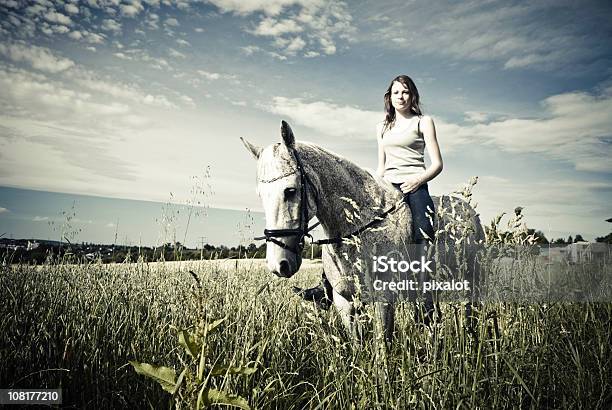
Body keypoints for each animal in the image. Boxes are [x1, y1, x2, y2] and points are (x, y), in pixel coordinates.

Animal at [241, 120, 486, 342]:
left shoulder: (384, 299)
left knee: (469, 314)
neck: (357, 229)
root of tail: (470, 213)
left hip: (471, 283)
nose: (279, 264)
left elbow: (382, 346)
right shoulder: (345, 302)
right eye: (261, 195)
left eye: (290, 191)